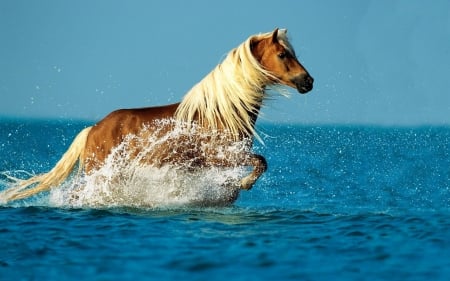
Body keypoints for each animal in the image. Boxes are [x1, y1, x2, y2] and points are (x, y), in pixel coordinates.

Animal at [0, 27, 312, 203]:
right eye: (283, 55)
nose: (308, 81)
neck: (221, 114)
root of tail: (93, 129)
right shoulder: (222, 157)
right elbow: (260, 163)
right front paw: (243, 184)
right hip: (99, 173)